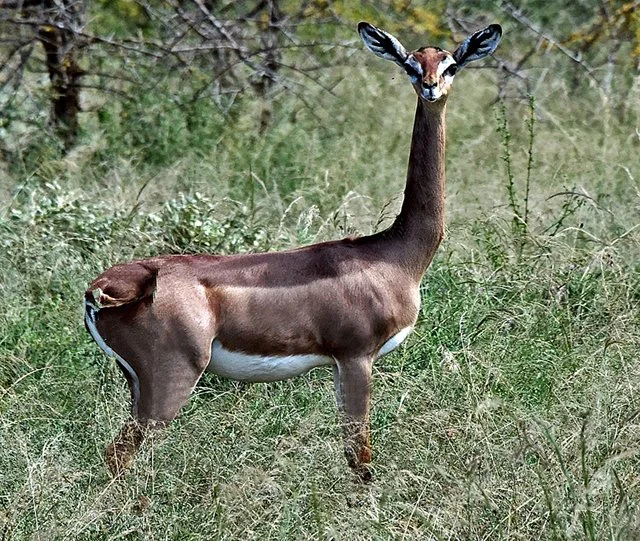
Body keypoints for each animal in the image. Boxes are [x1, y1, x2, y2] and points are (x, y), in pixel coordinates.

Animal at [84, 21, 502, 482]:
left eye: (450, 64)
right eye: (411, 64)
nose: (429, 87)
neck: (393, 256)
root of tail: (104, 287)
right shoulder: (356, 357)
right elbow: (360, 458)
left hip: (136, 383)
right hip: (171, 380)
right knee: (118, 455)